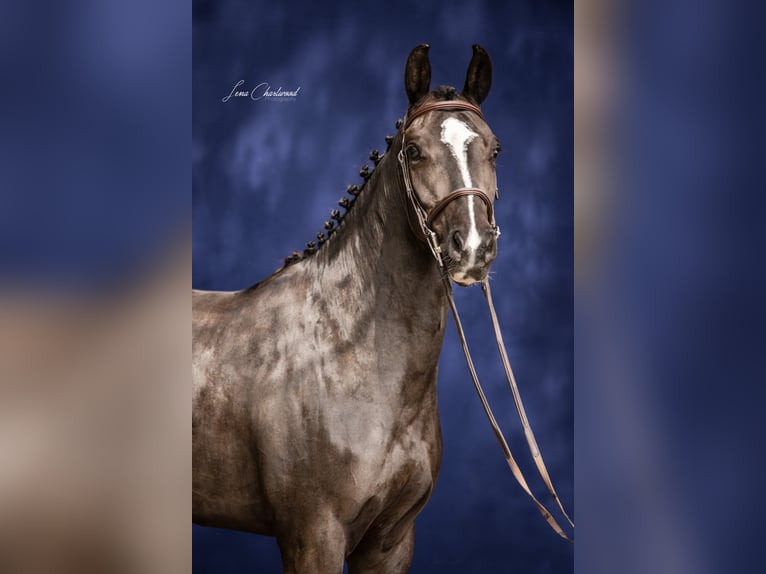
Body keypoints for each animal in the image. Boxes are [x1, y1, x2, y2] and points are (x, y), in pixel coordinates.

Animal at [193, 44, 502, 573]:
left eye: (494, 149)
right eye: (414, 150)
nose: (474, 248)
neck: (346, 351)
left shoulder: (391, 542)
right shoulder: (313, 536)